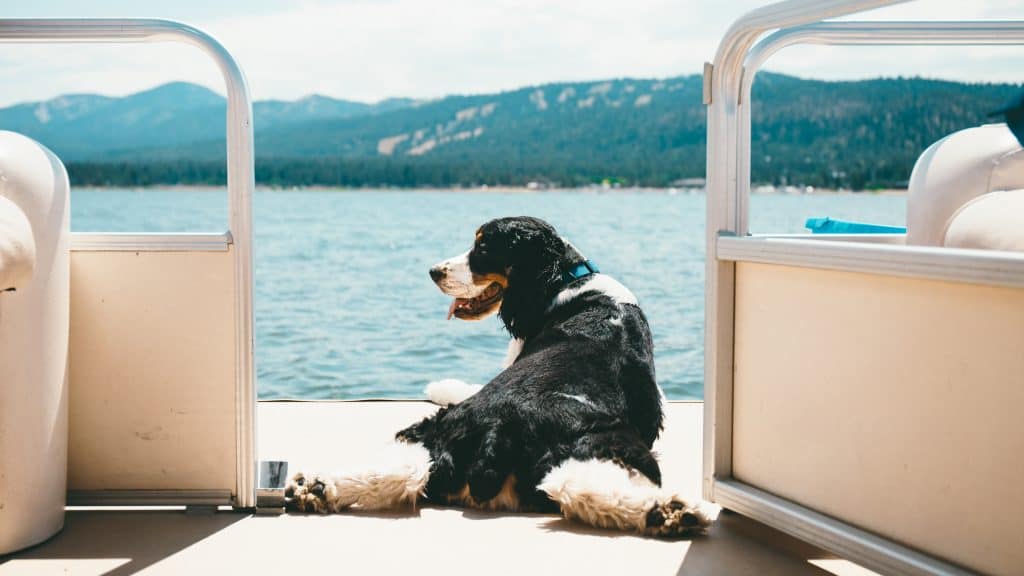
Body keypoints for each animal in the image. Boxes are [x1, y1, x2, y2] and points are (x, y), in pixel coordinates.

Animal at [284, 215, 708, 532]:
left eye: (483, 248)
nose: (433, 271)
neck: (571, 279)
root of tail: (496, 431)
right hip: (608, 444)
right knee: (578, 486)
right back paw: (669, 512)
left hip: (447, 433)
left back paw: (317, 488)